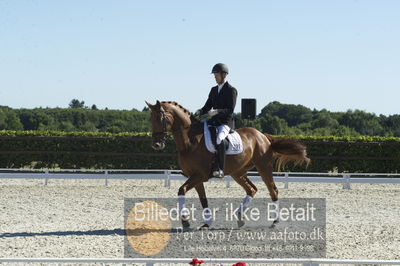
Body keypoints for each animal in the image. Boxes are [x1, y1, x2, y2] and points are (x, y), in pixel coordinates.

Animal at [146, 101, 310, 230]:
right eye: (150, 119)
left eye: (160, 118)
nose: (156, 145)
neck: (190, 142)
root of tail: (263, 136)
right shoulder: (196, 177)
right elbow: (202, 199)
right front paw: (206, 223)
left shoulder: (200, 175)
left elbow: (181, 190)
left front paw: (185, 221)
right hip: (237, 172)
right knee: (252, 189)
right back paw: (240, 218)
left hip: (264, 167)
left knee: (273, 190)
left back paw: (275, 222)